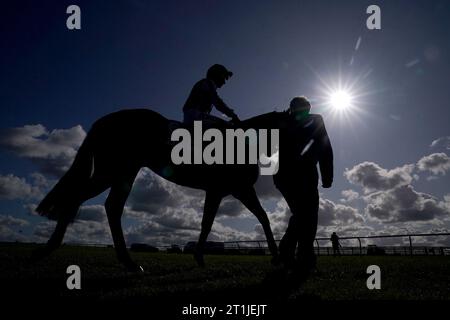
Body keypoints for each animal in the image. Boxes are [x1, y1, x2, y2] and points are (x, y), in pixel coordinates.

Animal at [36, 109, 282, 272]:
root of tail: (105, 120)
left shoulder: (234, 191)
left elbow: (256, 217)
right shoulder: (229, 190)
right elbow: (215, 222)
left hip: (124, 172)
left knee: (111, 206)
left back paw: (126, 261)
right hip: (112, 172)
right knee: (82, 198)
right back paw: (50, 248)